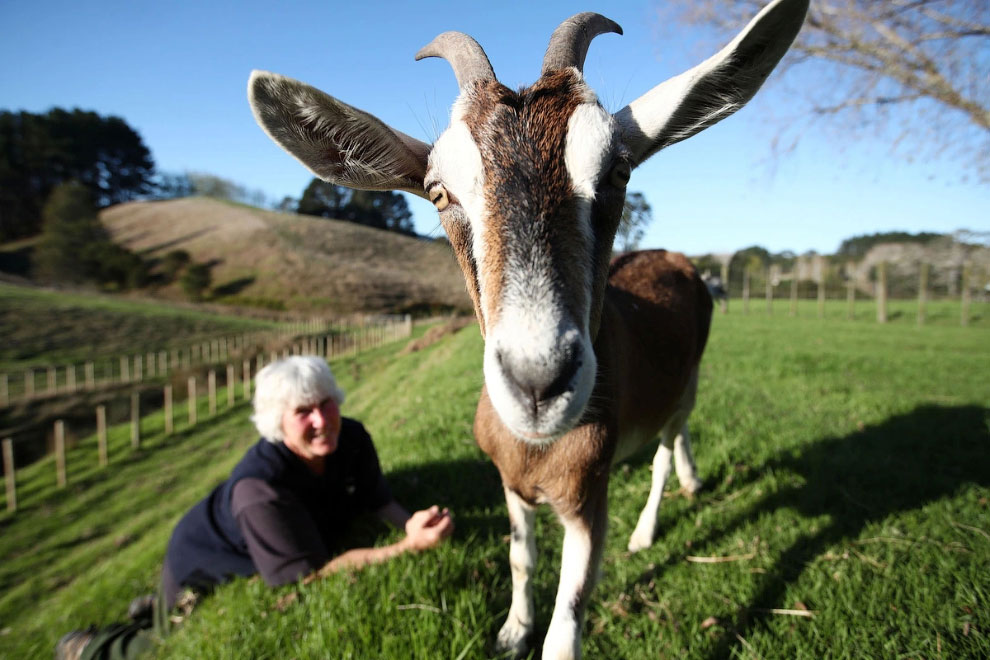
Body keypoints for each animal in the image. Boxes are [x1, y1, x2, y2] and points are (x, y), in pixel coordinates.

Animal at [248, 2, 808, 656]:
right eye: (437, 191)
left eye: (618, 172)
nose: (539, 382)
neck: (538, 450)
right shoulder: (511, 487)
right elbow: (521, 560)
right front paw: (513, 629)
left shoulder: (587, 499)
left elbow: (568, 621)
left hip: (689, 378)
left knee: (668, 446)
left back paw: (649, 527)